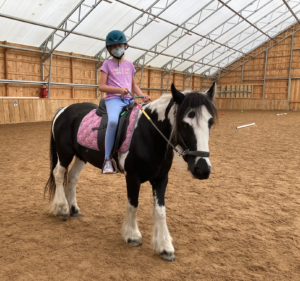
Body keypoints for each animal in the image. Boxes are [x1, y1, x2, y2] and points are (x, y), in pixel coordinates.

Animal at [44, 81, 217, 260]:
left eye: (210, 122)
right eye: (184, 123)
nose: (202, 169)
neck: (149, 134)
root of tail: (63, 110)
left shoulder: (161, 179)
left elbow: (160, 211)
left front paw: (164, 246)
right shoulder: (133, 177)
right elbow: (133, 205)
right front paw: (132, 236)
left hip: (81, 156)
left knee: (72, 177)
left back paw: (73, 208)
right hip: (65, 153)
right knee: (58, 174)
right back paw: (63, 209)